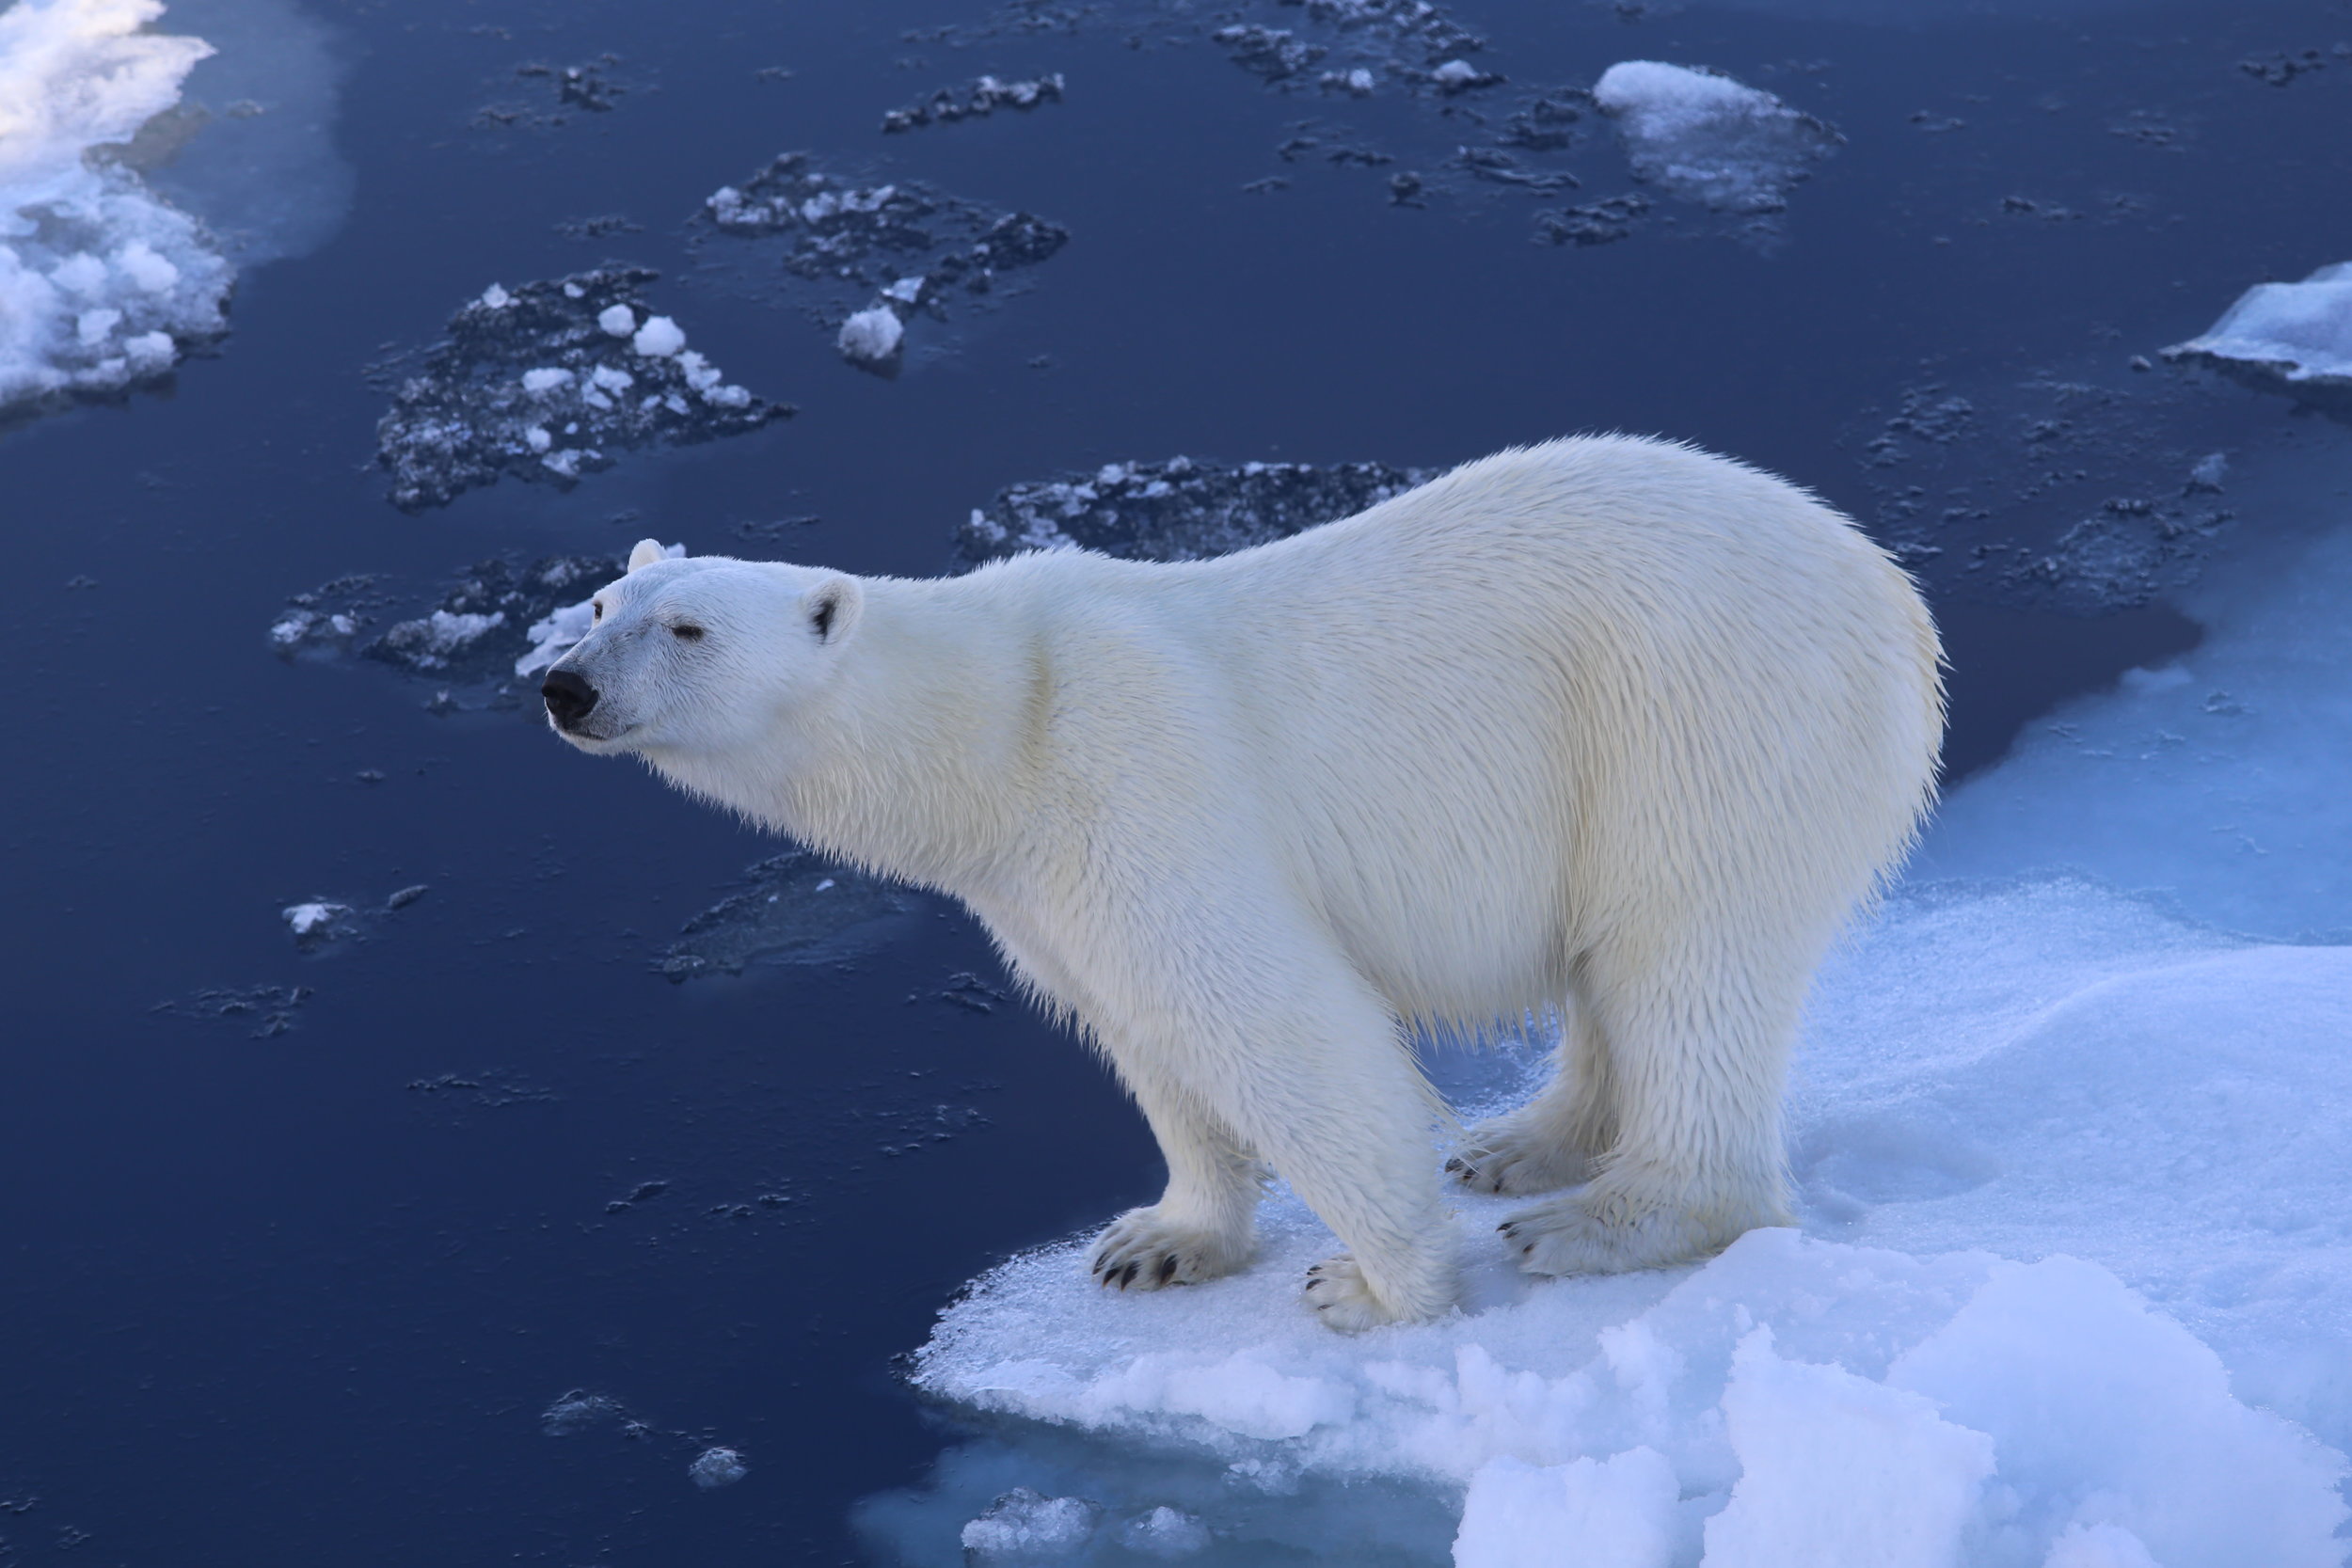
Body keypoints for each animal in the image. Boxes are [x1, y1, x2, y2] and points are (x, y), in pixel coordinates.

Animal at [541, 435, 1938, 1335]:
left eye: (688, 628)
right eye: (600, 601)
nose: (563, 684)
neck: (997, 724)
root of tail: (1888, 590)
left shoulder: (1132, 780)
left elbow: (1266, 1021)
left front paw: (1373, 1288)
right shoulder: (1033, 881)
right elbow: (1147, 1036)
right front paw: (1159, 1239)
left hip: (1697, 715)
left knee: (1685, 953)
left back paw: (1608, 1216)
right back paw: (1521, 1143)